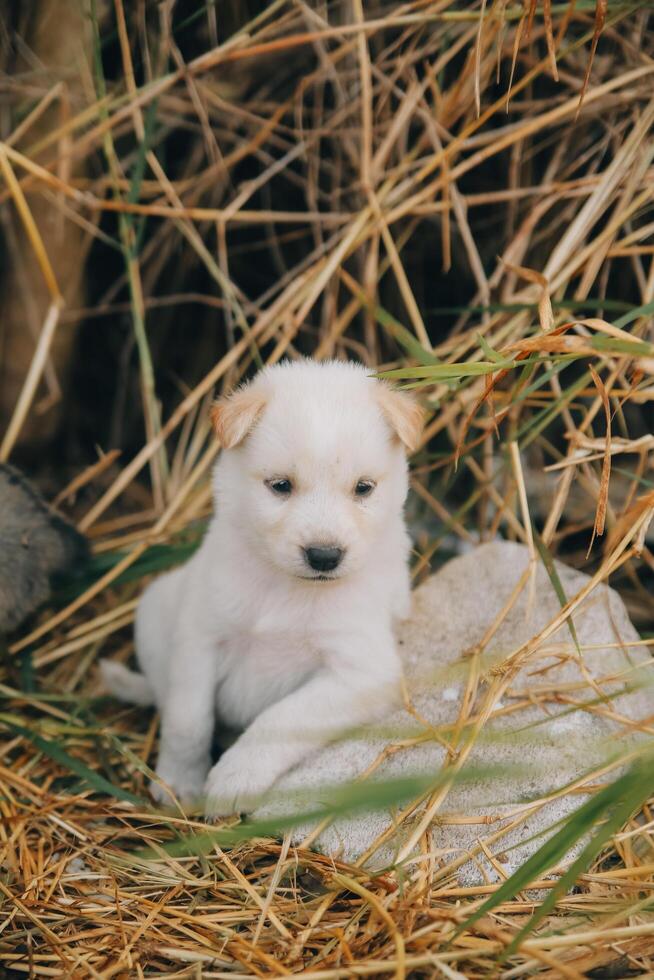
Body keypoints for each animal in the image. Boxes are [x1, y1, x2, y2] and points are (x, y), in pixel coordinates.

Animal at [100, 356, 422, 816]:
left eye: (363, 488)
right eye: (281, 485)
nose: (324, 556)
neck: (285, 587)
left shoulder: (361, 673)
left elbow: (280, 721)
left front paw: (234, 778)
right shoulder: (199, 637)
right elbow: (187, 721)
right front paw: (180, 782)